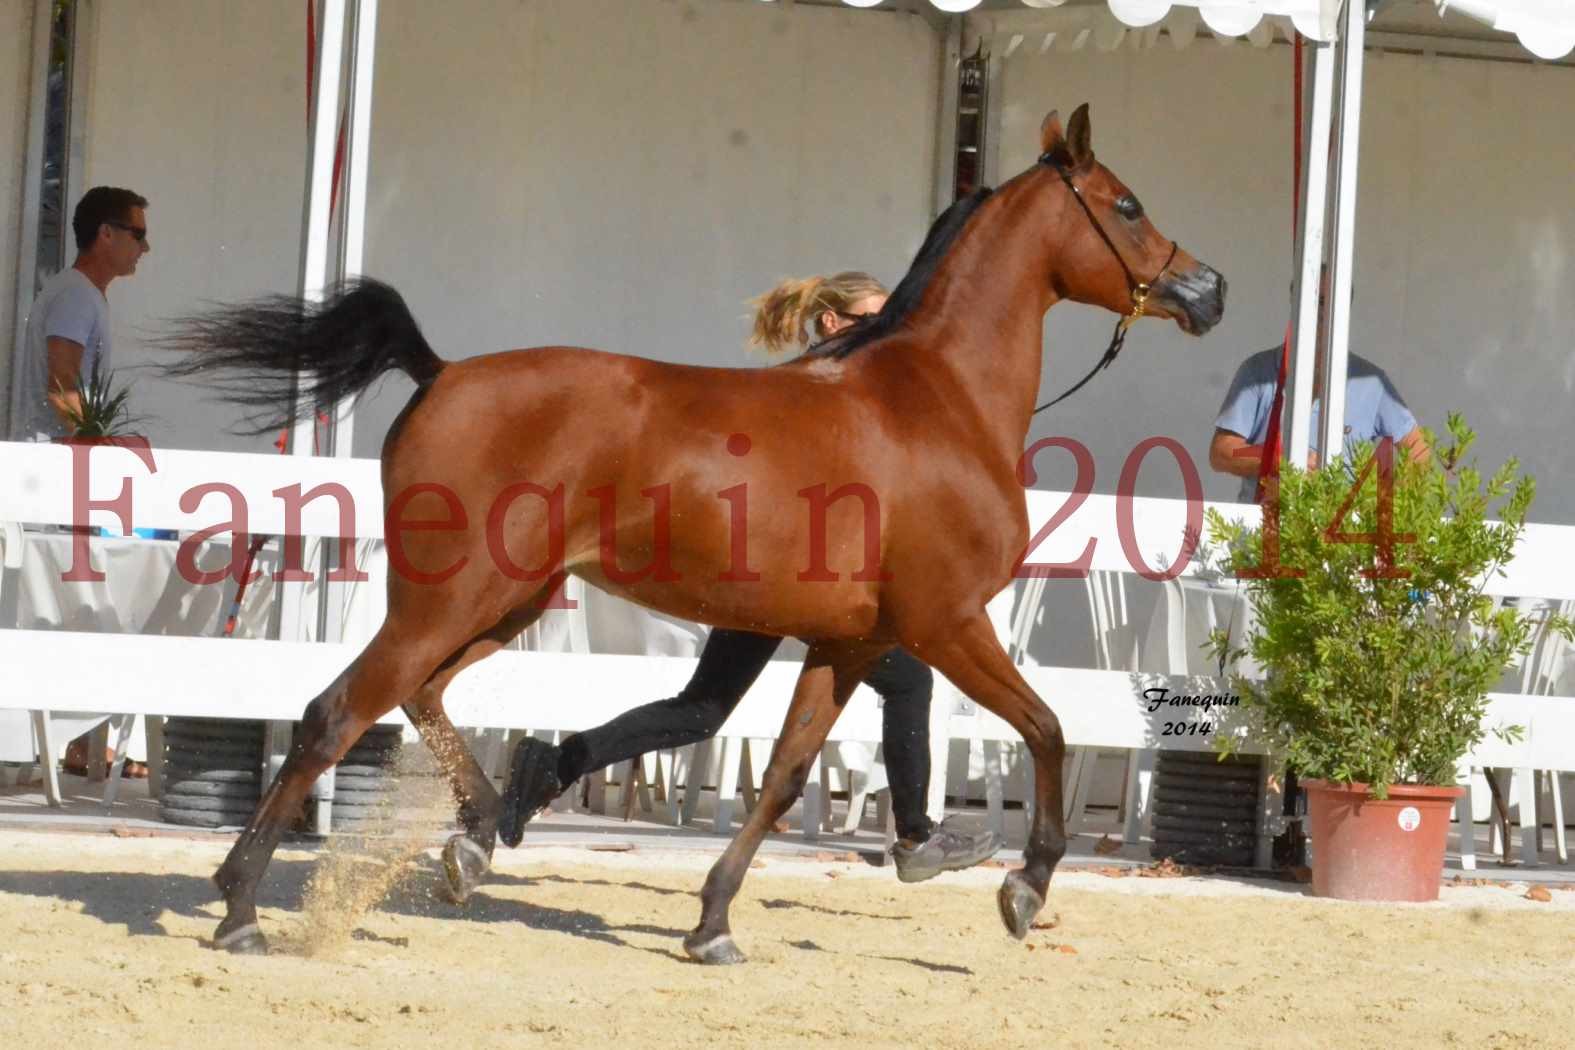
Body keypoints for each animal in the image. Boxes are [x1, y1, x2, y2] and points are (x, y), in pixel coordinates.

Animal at [175, 104, 1228, 963]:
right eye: (1126, 204)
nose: (1208, 289)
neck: (937, 401)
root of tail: (439, 372)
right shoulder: (946, 624)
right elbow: (1046, 727)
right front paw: (1024, 888)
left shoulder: (852, 643)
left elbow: (785, 775)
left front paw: (713, 924)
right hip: (448, 598)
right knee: (336, 712)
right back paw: (242, 909)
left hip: (503, 601)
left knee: (419, 695)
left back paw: (477, 835)